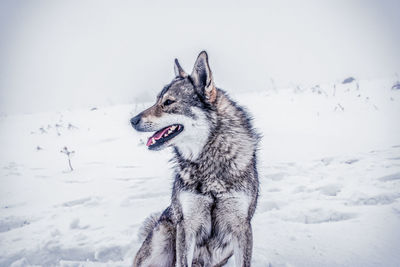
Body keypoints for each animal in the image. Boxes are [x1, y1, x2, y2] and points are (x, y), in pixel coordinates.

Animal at [131, 51, 260, 266]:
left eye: (168, 102)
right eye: (156, 100)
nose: (132, 120)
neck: (208, 163)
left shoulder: (241, 227)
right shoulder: (186, 226)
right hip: (162, 239)